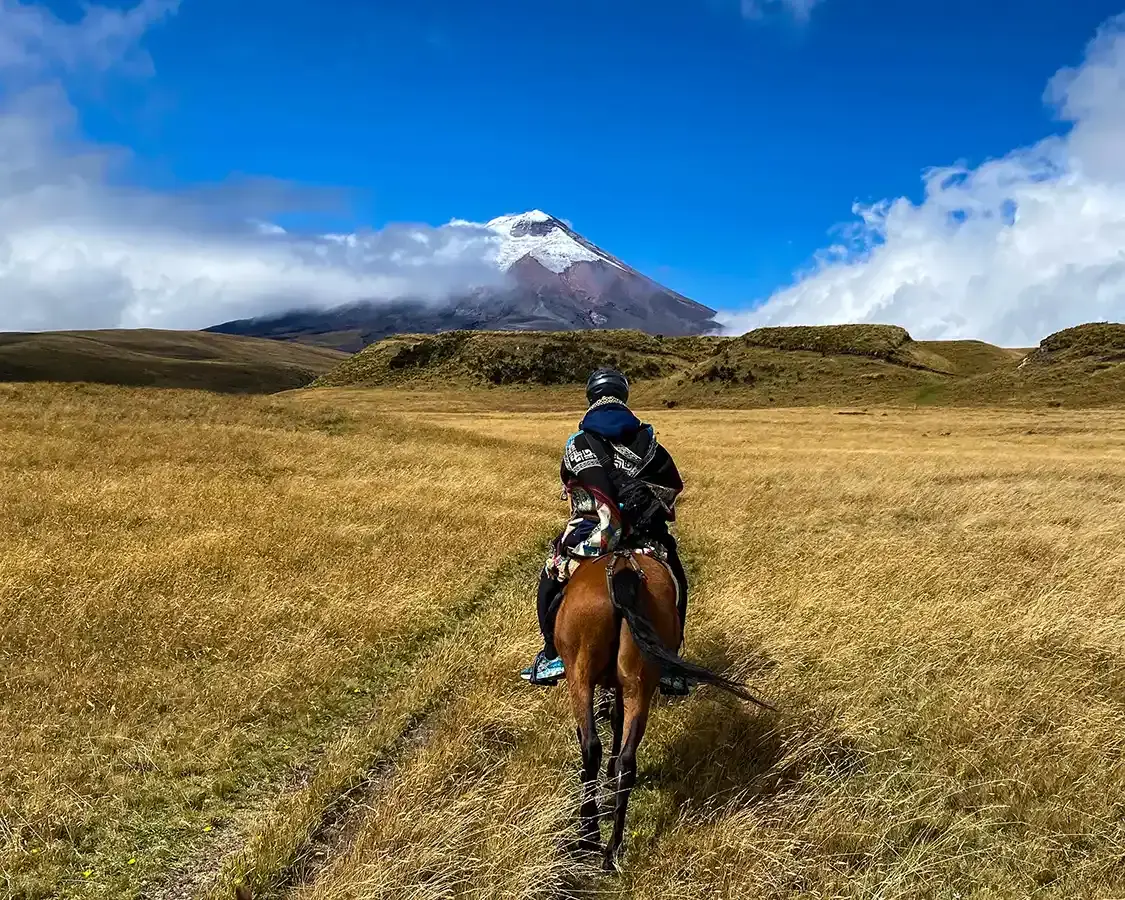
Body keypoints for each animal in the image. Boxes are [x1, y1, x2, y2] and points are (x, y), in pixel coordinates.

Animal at [553, 547, 775, 872]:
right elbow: (618, 720)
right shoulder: (620, 685)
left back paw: (589, 834)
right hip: (639, 681)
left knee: (591, 746)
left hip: (579, 674)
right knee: (628, 760)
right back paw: (612, 849)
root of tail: (621, 568)